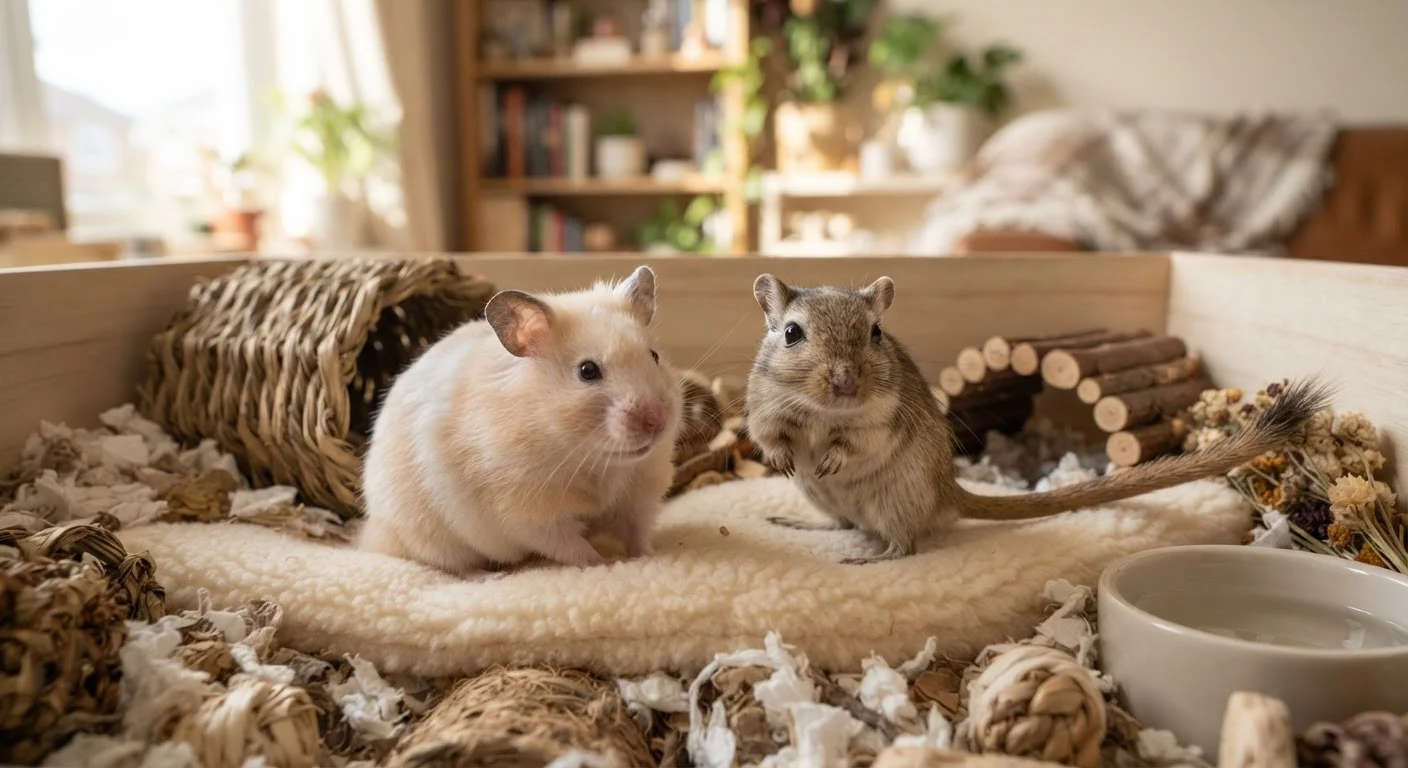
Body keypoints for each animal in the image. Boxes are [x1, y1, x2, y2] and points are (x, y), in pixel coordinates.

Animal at [356, 265, 684, 579]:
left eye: (654, 356)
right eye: (587, 371)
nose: (657, 421)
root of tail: (371, 533)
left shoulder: (639, 493)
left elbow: (637, 531)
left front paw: (649, 556)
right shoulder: (529, 512)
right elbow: (573, 546)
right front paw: (607, 562)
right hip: (428, 535)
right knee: (455, 566)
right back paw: (489, 577)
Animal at [743, 273, 1330, 565]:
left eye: (876, 334)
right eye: (792, 333)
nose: (846, 384)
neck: (823, 413)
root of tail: (949, 494)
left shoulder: (878, 423)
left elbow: (856, 443)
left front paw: (829, 458)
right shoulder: (764, 409)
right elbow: (770, 435)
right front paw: (784, 460)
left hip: (894, 502)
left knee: (902, 545)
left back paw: (869, 558)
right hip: (839, 504)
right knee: (843, 524)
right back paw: (801, 521)